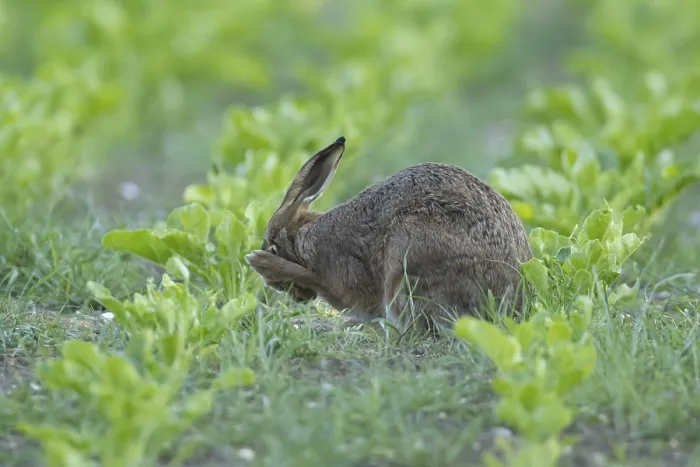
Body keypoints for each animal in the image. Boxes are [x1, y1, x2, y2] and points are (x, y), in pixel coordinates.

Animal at [245, 136, 532, 334]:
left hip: (405, 254)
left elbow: (317, 278)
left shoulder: (342, 273)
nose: (294, 297)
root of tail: (511, 302)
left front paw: (261, 261)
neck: (303, 237)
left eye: (273, 246)